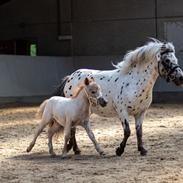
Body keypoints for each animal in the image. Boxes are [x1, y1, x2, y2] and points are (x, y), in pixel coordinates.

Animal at [52, 38, 183, 156]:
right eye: (167, 60)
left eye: (175, 59)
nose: (180, 78)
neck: (134, 83)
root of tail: (70, 77)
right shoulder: (122, 111)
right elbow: (127, 131)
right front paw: (119, 150)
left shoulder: (141, 112)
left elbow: (139, 131)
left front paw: (142, 150)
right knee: (73, 129)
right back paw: (76, 150)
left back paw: (75, 149)